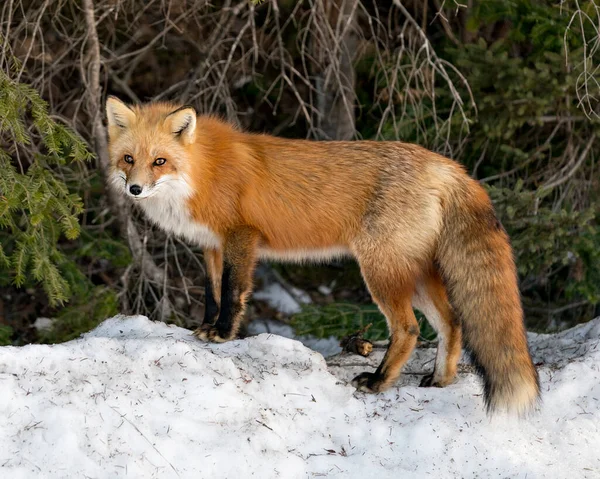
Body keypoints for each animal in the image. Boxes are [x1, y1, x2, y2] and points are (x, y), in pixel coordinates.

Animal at [105, 96, 540, 412]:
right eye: (129, 159)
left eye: (160, 161)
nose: (135, 189)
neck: (202, 172)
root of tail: (447, 165)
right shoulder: (212, 245)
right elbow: (212, 294)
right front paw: (206, 327)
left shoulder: (240, 236)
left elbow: (232, 293)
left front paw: (224, 334)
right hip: (415, 273)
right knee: (452, 322)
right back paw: (440, 380)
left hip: (381, 272)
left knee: (410, 329)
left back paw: (378, 381)